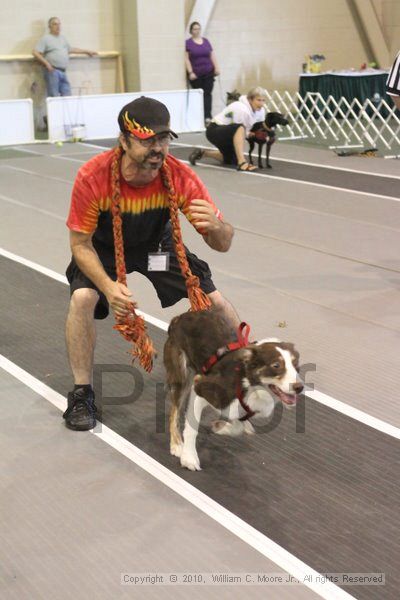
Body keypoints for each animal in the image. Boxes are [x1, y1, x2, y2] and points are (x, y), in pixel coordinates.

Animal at [163, 312, 304, 472]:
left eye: (296, 365)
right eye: (276, 365)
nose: (299, 387)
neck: (247, 383)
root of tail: (179, 318)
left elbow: (237, 426)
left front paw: (220, 427)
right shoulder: (199, 386)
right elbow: (192, 428)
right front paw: (189, 458)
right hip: (182, 376)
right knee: (174, 412)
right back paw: (176, 444)